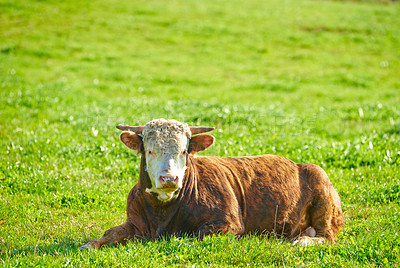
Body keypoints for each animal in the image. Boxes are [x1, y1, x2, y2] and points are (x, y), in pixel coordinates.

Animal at [80, 118, 344, 248]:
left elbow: (191, 236)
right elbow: (110, 233)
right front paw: (90, 244)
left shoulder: (227, 223)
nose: (169, 179)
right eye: (150, 150)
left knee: (327, 236)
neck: (163, 213)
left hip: (323, 196)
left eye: (184, 151)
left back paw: (302, 242)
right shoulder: (134, 222)